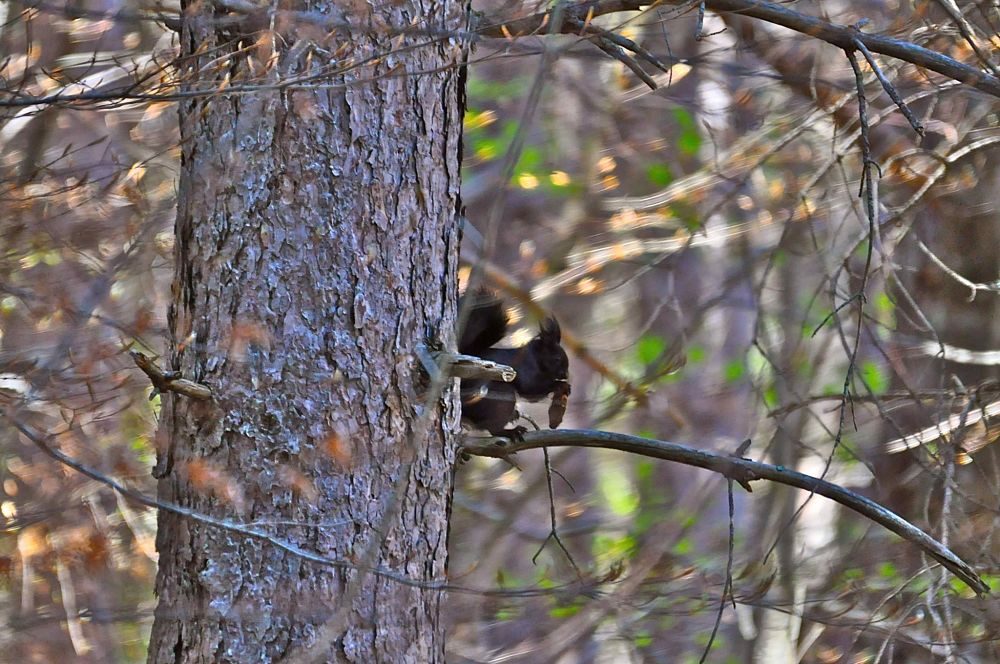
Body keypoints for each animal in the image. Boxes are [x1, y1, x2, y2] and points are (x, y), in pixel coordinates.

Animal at [458, 290, 572, 436]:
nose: (566, 375)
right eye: (557, 359)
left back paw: (513, 416)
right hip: (499, 397)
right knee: (492, 428)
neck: (534, 357)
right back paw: (510, 431)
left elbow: (533, 397)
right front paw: (560, 385)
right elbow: (530, 388)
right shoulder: (525, 369)